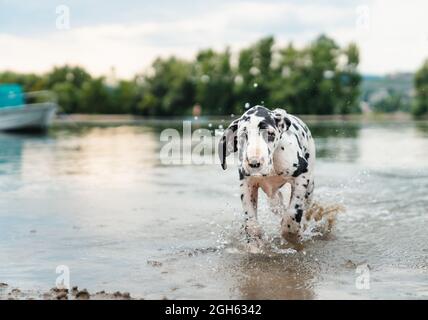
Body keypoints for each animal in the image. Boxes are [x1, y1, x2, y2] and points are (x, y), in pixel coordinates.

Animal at [221, 105, 314, 245]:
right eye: (243, 135)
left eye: (270, 134)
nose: (254, 163)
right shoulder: (246, 183)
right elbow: (251, 219)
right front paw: (254, 237)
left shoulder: (302, 173)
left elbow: (293, 209)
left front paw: (290, 231)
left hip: (310, 186)